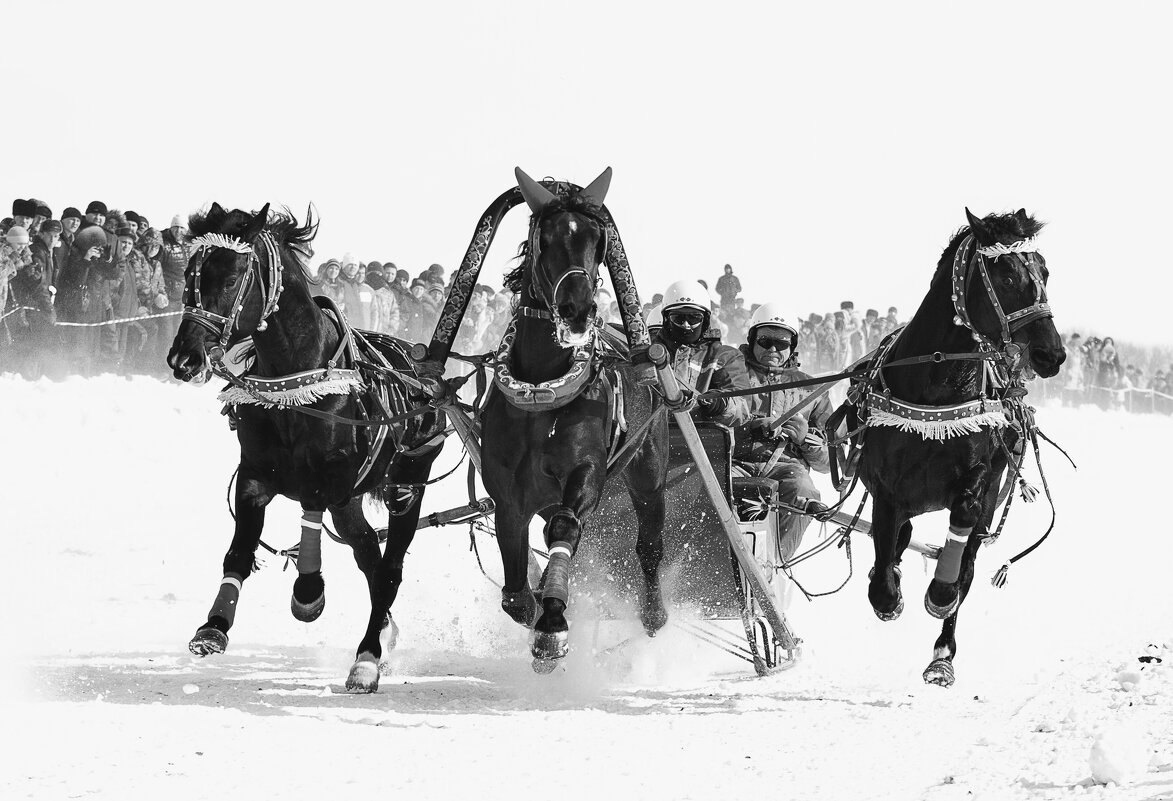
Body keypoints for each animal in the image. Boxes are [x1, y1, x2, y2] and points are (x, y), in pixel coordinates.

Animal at [171, 204, 448, 694]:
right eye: (189, 273)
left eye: (232, 277)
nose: (183, 358)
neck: (297, 387)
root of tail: (425, 372)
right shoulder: (254, 475)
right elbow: (239, 551)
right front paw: (214, 627)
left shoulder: (333, 480)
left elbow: (311, 510)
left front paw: (308, 591)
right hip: (353, 505)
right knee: (369, 558)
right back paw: (382, 635)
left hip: (407, 485)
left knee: (389, 570)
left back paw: (367, 658)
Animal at [480, 168, 670, 670]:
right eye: (544, 239)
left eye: (598, 241)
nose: (578, 309)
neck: (539, 395)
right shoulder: (505, 491)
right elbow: (513, 589)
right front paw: (535, 606)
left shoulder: (585, 471)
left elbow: (566, 527)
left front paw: (551, 625)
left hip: (649, 471)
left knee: (648, 544)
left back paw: (654, 612)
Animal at [853, 208, 1065, 689]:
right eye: (1006, 274)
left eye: (1044, 271)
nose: (1053, 354)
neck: (935, 382)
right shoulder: (886, 487)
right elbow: (885, 554)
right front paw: (887, 590)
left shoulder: (980, 475)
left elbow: (965, 523)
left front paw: (941, 593)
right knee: (899, 538)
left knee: (966, 559)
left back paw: (943, 651)